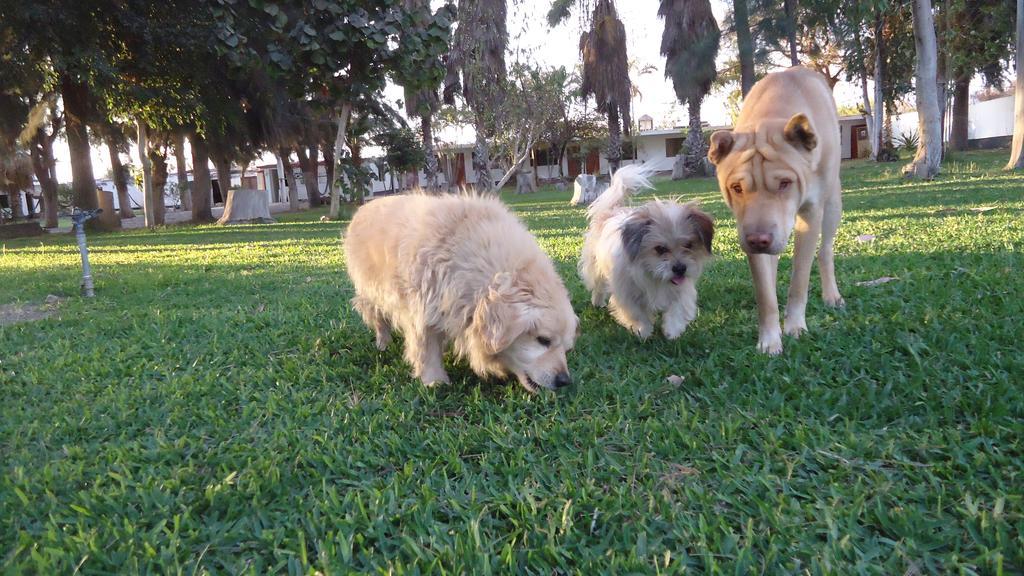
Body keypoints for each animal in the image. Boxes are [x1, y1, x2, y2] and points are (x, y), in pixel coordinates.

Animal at [344, 191, 581, 389]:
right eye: (543, 340)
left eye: (567, 348)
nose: (564, 381)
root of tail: (364, 206)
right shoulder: (422, 310)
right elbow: (426, 348)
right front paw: (435, 381)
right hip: (371, 292)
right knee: (377, 316)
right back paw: (383, 342)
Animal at [581, 163, 716, 338]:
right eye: (660, 249)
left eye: (688, 245)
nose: (680, 268)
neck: (654, 276)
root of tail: (610, 212)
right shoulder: (627, 294)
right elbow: (638, 314)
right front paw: (643, 331)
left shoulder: (682, 290)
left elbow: (677, 309)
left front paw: (672, 331)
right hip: (595, 269)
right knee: (598, 287)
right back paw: (598, 302)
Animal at [708, 67, 843, 354]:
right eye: (736, 187)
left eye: (785, 183)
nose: (759, 239)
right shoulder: (748, 228)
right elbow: (764, 291)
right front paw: (770, 338)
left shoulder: (811, 214)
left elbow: (800, 278)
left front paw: (795, 326)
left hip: (833, 203)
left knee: (825, 251)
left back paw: (832, 295)